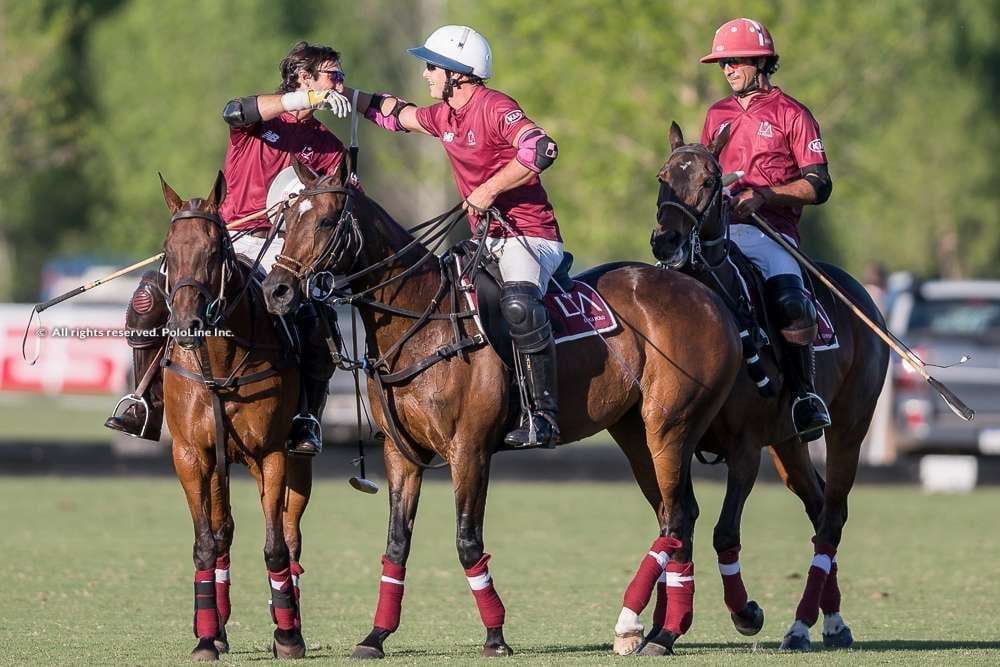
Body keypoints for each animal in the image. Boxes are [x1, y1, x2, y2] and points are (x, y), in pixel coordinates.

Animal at [159, 174, 312, 664]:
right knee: (222, 530)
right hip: (217, 465)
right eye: (167, 250)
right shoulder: (191, 455)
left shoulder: (271, 454)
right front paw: (206, 637)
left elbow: (275, 546)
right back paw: (217, 622)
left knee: (291, 534)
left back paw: (290, 619)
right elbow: (206, 543)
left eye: (214, 251)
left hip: (295, 461)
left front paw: (288, 636)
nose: (186, 325)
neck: (221, 360)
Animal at [262, 162, 748, 656]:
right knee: (677, 515)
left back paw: (642, 627)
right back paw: (659, 629)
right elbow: (397, 544)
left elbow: (467, 541)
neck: (421, 320)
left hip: (670, 425)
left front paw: (495, 636)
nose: (276, 290)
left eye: (325, 221)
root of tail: (711, 299)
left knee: (677, 515)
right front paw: (376, 636)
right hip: (635, 433)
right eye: (286, 222)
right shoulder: (402, 454)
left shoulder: (469, 449)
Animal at [652, 124, 896, 652]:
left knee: (833, 516)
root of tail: (863, 295)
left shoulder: (744, 447)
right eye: (663, 176)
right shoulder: (679, 437)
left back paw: (802, 626)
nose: (666, 241)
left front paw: (746, 614)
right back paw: (833, 621)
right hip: (788, 444)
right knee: (819, 505)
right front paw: (663, 629)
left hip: (850, 425)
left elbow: (724, 532)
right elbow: (677, 525)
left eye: (709, 181)